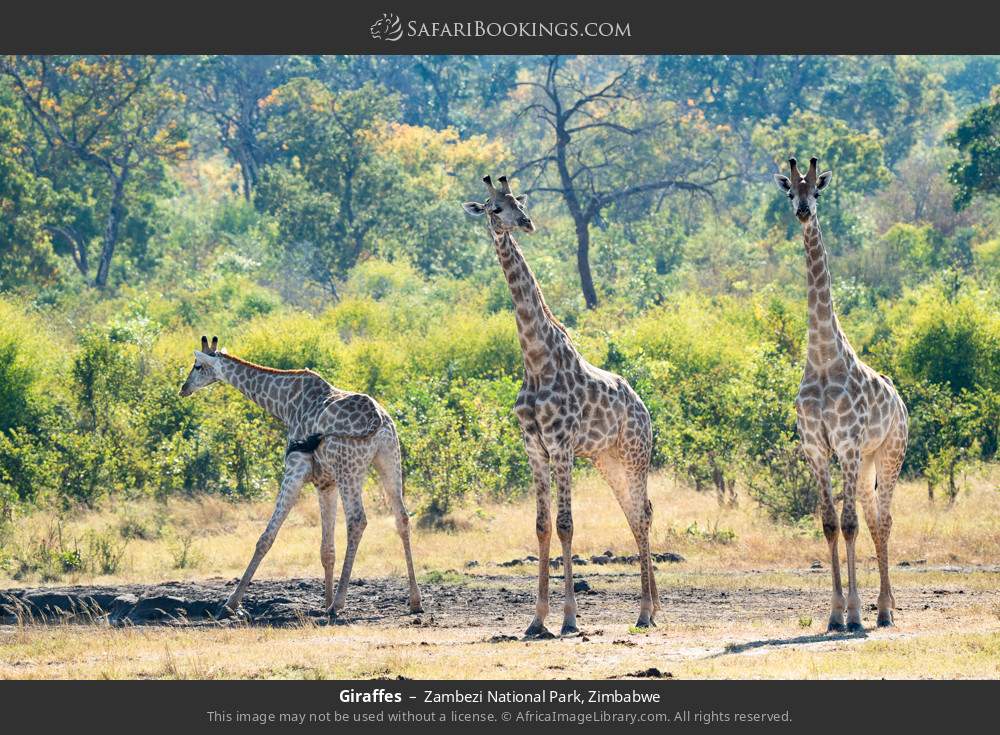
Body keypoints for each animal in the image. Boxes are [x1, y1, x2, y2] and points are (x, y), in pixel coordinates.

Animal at [178, 336, 420, 620]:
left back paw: (339, 605)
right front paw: (324, 602)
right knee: (402, 517)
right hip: (390, 460)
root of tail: (378, 419)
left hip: (350, 468)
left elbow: (266, 537)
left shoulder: (295, 469)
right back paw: (414, 601)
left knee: (357, 520)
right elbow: (327, 549)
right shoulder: (326, 483)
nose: (183, 388)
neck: (284, 404)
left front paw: (230, 604)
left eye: (197, 366)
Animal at [464, 175, 660, 636]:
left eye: (517, 202)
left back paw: (645, 612)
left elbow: (566, 525)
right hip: (608, 460)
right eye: (494, 208)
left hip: (635, 455)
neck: (536, 359)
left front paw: (569, 619)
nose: (527, 223)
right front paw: (536, 621)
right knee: (635, 513)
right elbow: (540, 527)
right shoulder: (534, 448)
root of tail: (643, 409)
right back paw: (653, 607)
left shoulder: (562, 446)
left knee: (643, 515)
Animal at [776, 158, 912, 628]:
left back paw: (885, 610)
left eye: (817, 191)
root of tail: (900, 402)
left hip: (889, 453)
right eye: (790, 191)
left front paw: (853, 613)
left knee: (884, 519)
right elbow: (830, 524)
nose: (803, 211)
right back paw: (883, 605)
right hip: (870, 459)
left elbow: (850, 524)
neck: (821, 358)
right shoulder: (817, 448)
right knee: (874, 519)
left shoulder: (848, 443)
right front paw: (835, 613)